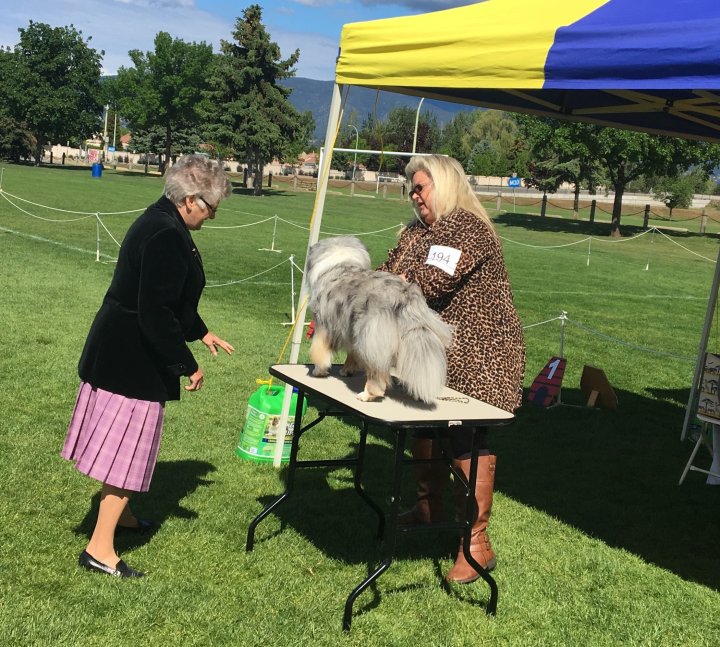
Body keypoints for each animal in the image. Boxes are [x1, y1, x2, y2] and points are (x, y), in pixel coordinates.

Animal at [306, 235, 452, 402]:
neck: (342, 265)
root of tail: (404, 295)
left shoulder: (323, 325)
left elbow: (319, 351)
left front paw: (318, 371)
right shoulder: (351, 329)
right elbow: (352, 352)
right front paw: (347, 370)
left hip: (371, 337)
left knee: (377, 374)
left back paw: (367, 394)